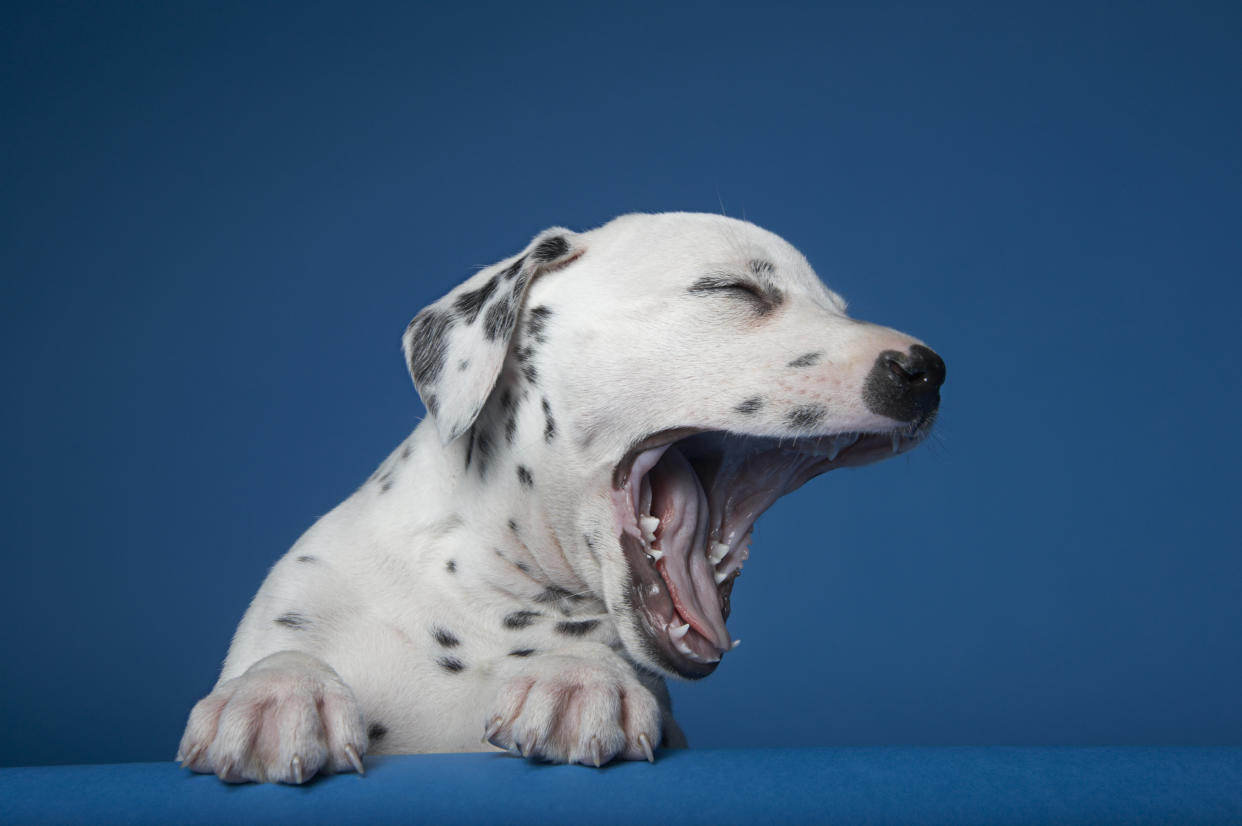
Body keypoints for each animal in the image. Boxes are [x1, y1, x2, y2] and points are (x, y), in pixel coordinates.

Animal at [175, 211, 943, 780]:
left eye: (836, 308)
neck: (483, 597)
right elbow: (283, 653)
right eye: (733, 290)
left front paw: (578, 679)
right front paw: (274, 692)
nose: (927, 371)